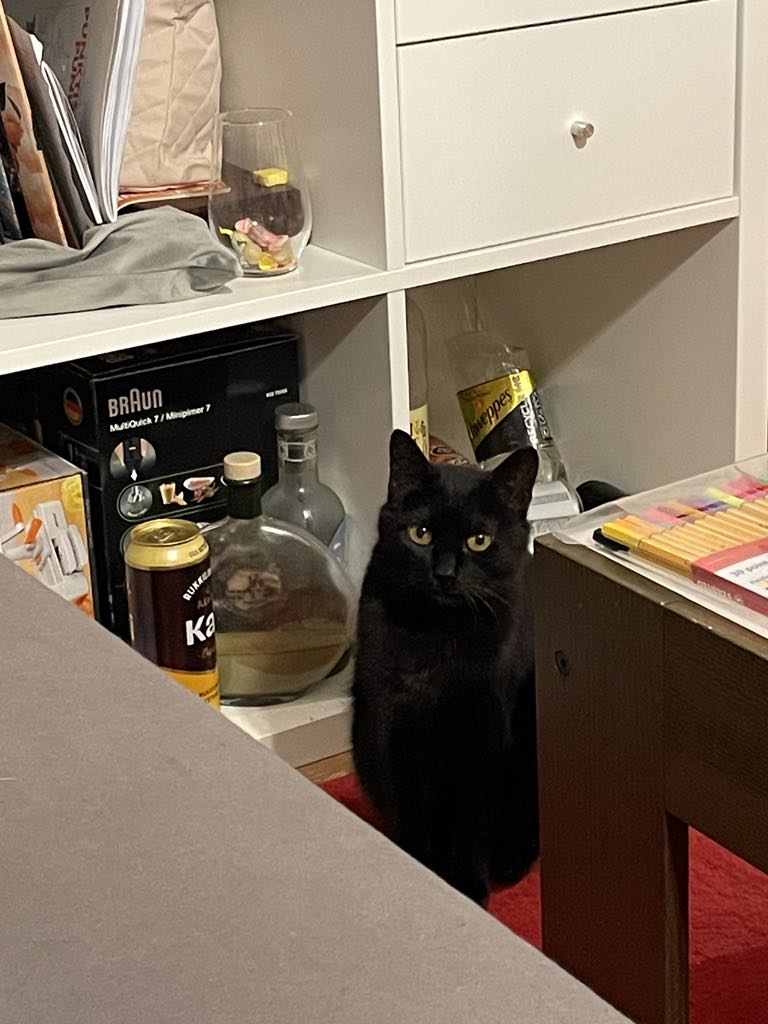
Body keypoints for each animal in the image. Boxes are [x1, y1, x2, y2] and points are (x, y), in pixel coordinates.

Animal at [352, 429, 539, 906]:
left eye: (479, 540)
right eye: (420, 534)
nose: (446, 574)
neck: (438, 636)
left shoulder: (484, 735)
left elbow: (473, 821)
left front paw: (467, 886)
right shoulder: (389, 725)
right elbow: (407, 810)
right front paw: (421, 873)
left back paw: (509, 860)